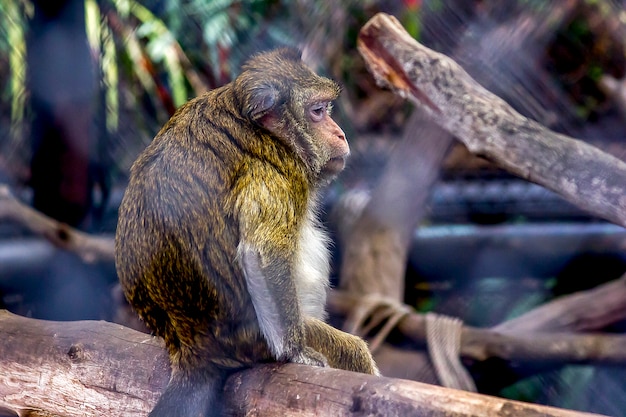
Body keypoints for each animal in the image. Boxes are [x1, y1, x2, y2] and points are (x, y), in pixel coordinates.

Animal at [114, 48, 378, 416]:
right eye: (317, 112)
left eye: (326, 110)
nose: (340, 134)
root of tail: (193, 348)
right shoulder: (275, 169)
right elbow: (263, 253)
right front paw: (295, 353)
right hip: (256, 343)